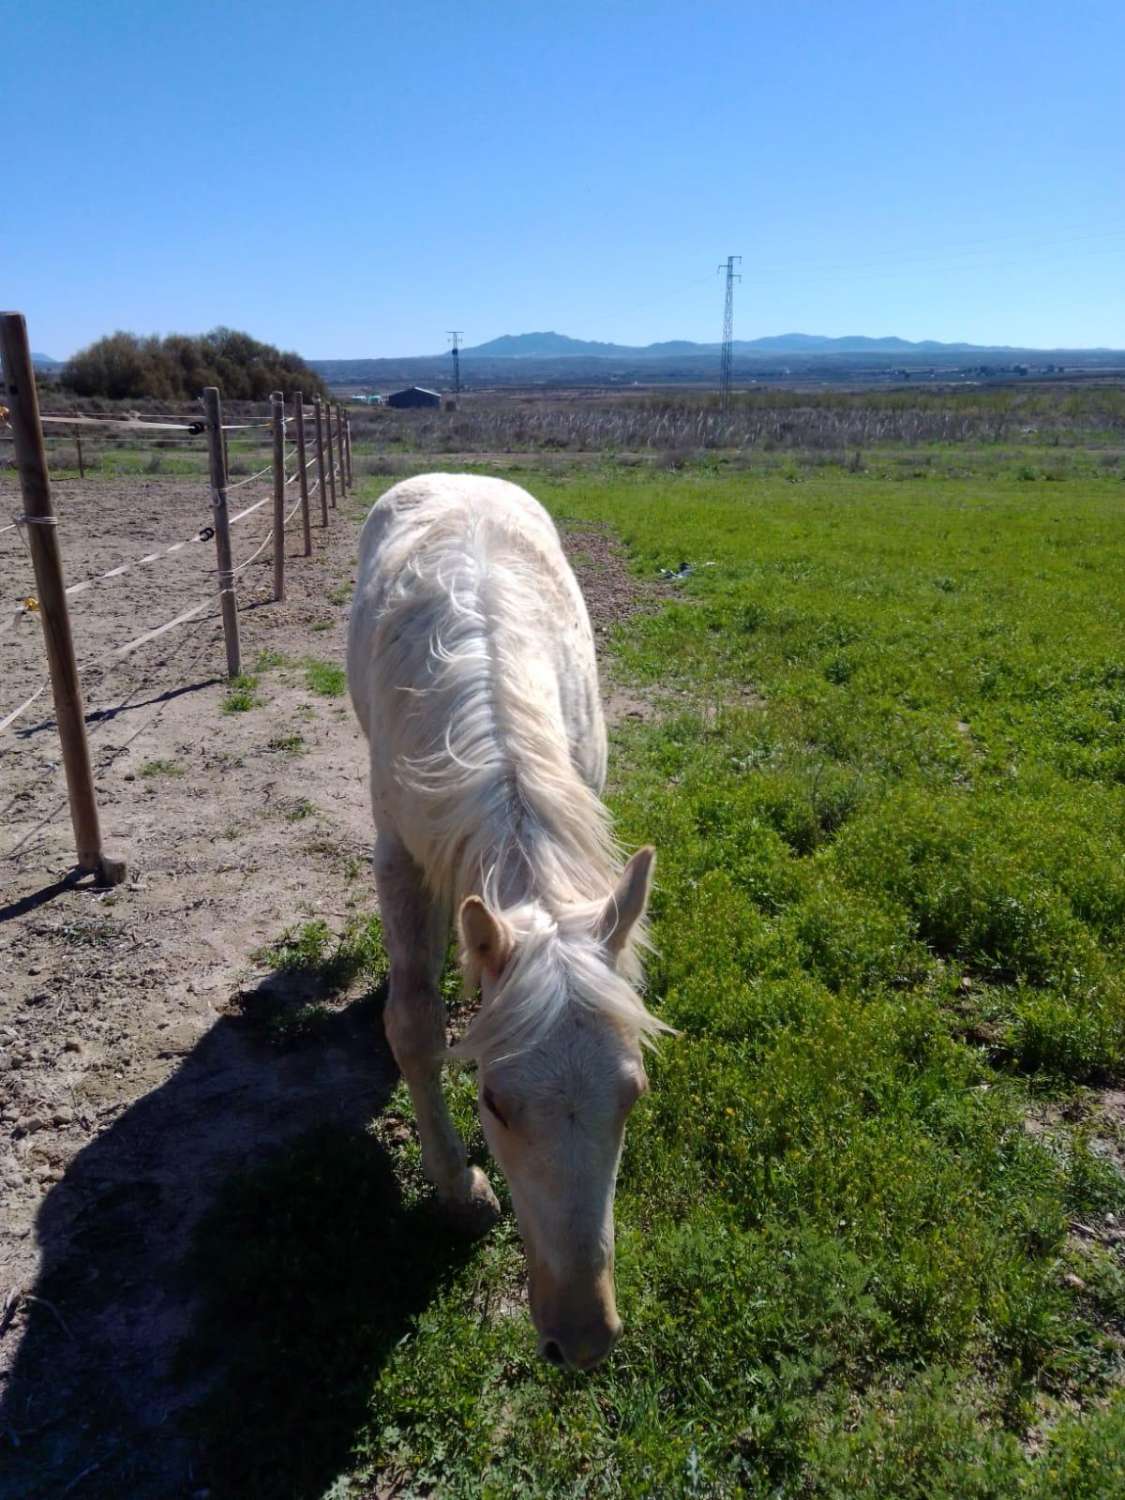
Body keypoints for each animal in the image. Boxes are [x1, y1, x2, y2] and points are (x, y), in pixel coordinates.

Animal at [351, 471, 669, 1374]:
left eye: (632, 1095)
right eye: (491, 1101)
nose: (583, 1335)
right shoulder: (398, 855)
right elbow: (414, 1022)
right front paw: (459, 1193)